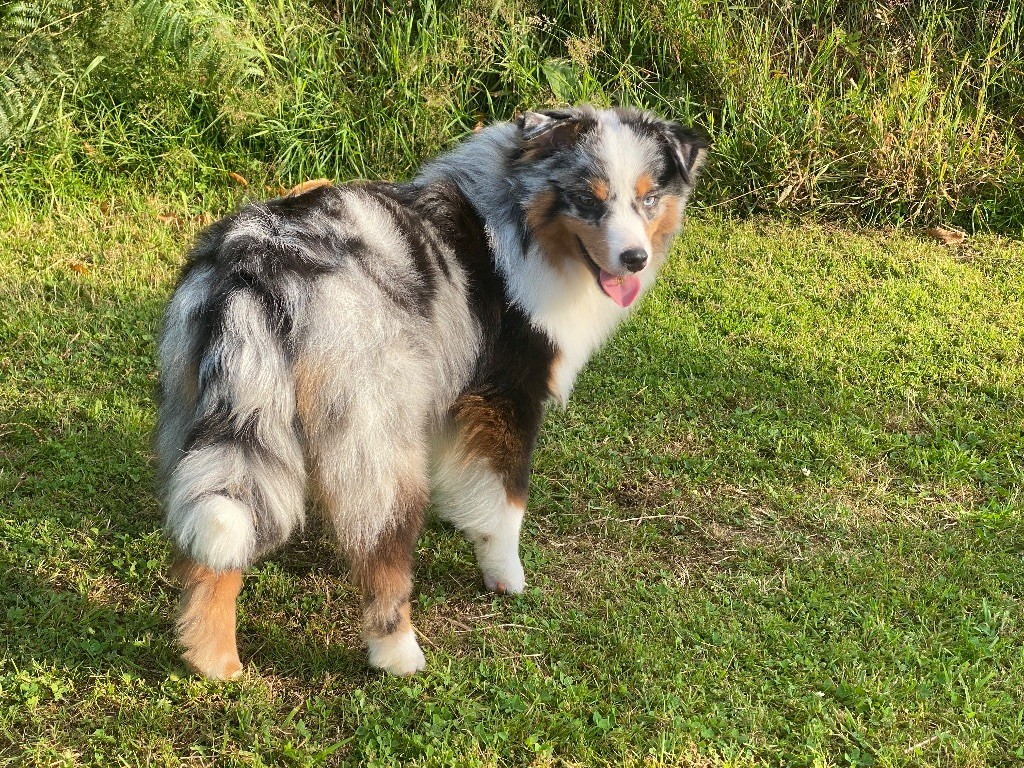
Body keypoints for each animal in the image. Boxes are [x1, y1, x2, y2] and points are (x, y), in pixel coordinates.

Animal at [155, 105, 708, 675]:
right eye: (588, 198)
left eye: (648, 197)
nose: (635, 259)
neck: (520, 220)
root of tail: (256, 267)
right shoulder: (506, 395)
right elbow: (508, 501)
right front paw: (506, 576)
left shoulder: (454, 397)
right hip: (374, 431)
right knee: (380, 548)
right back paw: (398, 652)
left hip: (212, 408)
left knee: (211, 535)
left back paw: (213, 661)